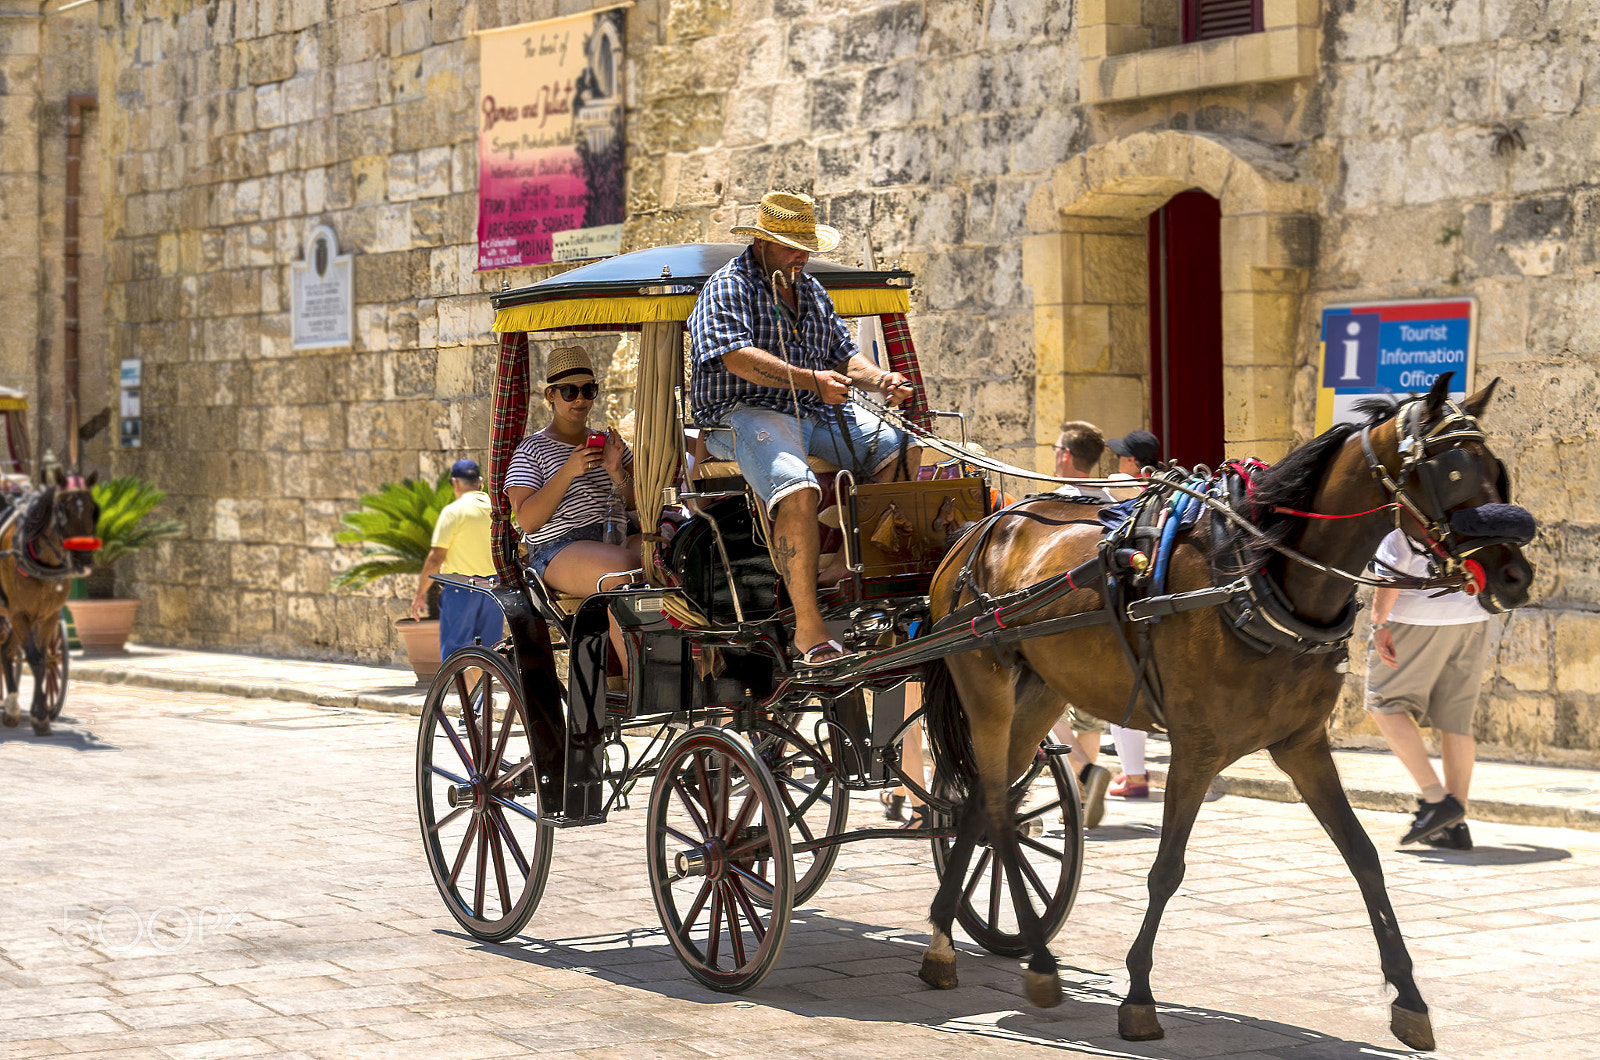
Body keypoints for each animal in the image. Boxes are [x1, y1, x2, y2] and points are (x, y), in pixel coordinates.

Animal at [0, 473, 99, 739]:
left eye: (93, 510)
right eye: (63, 511)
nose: (84, 561)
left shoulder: (48, 615)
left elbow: (43, 660)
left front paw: (39, 714)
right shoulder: (19, 613)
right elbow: (34, 659)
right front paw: (40, 716)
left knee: (7, 652)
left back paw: (11, 708)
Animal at [915, 376, 1523, 1056]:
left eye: (1497, 469)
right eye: (1449, 471)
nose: (1516, 574)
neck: (1257, 576)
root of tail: (980, 529)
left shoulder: (1303, 745)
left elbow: (1364, 857)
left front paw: (1410, 1000)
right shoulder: (1196, 747)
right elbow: (1166, 870)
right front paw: (1139, 997)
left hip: (1042, 691)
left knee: (980, 805)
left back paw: (943, 947)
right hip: (985, 683)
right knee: (996, 811)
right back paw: (1036, 964)